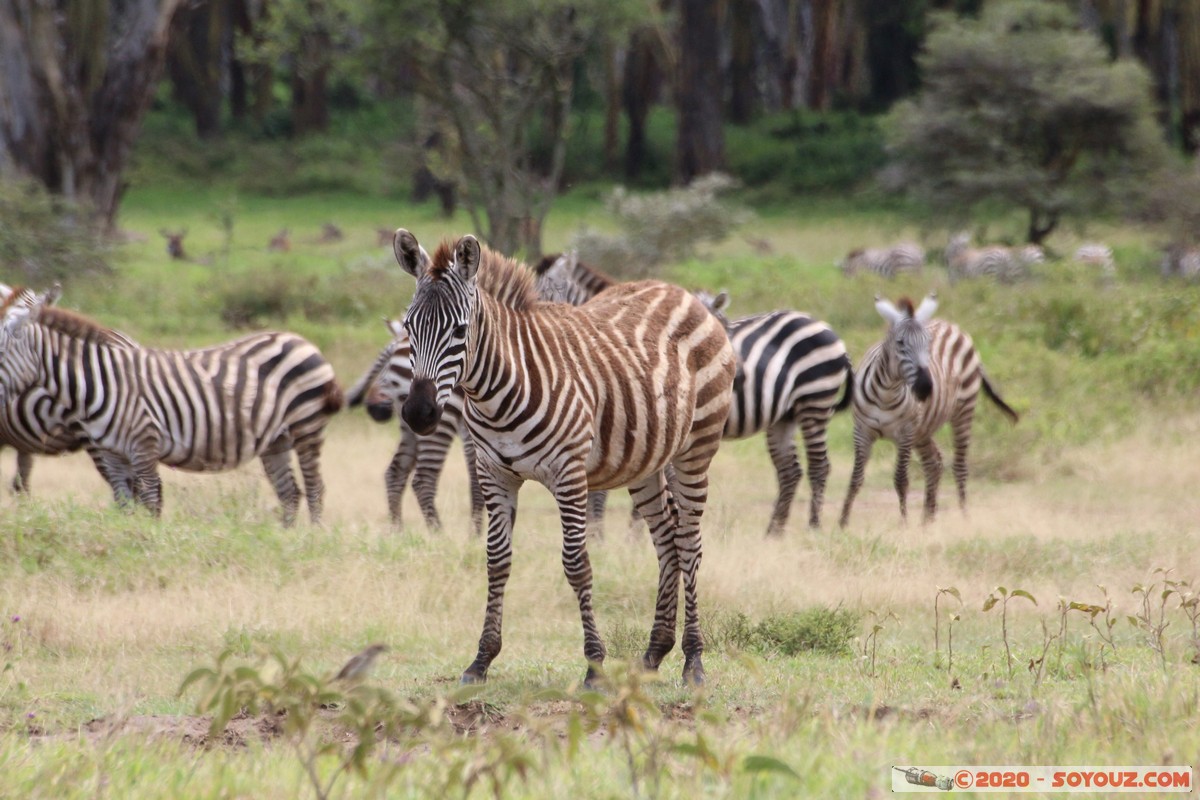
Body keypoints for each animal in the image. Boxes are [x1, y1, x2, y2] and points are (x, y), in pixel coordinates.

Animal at [0, 293, 345, 525]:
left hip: (307, 426)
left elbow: (152, 500)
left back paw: (311, 541)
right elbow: (125, 503)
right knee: (290, 493)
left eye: (0, 352)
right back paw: (284, 539)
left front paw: (152, 544)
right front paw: (126, 539)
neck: (97, 382)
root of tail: (302, 340)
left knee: (315, 488)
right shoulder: (112, 453)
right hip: (277, 439)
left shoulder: (143, 444)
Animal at [343, 316, 482, 534]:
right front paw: (475, 534)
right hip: (438, 420)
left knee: (395, 471)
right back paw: (438, 534)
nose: (374, 409)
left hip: (411, 424)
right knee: (423, 479)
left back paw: (397, 532)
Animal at [393, 230, 734, 690]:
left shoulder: (569, 473)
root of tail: (681, 292)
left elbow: (577, 564)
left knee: (688, 542)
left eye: (461, 331)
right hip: (645, 460)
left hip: (697, 447)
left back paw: (693, 660)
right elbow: (496, 560)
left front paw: (594, 666)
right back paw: (653, 654)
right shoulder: (493, 473)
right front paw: (481, 660)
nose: (419, 413)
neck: (498, 390)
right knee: (666, 539)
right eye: (409, 328)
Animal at [840, 292, 1017, 525]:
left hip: (962, 411)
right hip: (922, 430)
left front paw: (904, 523)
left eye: (928, 343)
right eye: (900, 343)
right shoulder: (862, 431)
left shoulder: (905, 434)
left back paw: (963, 517)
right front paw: (842, 522)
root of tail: (953, 326)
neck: (886, 394)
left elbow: (901, 480)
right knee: (934, 462)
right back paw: (927, 519)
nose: (925, 387)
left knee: (959, 466)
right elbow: (855, 478)